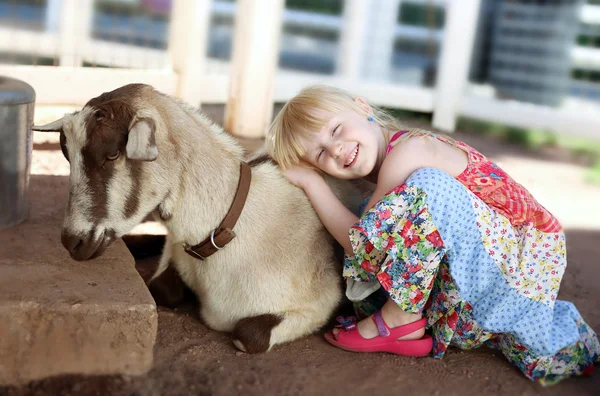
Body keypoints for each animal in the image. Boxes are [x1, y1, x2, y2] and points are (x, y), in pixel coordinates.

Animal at [34, 84, 370, 352]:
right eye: (67, 155)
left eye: (112, 154)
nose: (73, 241)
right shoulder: (174, 254)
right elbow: (162, 288)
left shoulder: (318, 303)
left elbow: (249, 335)